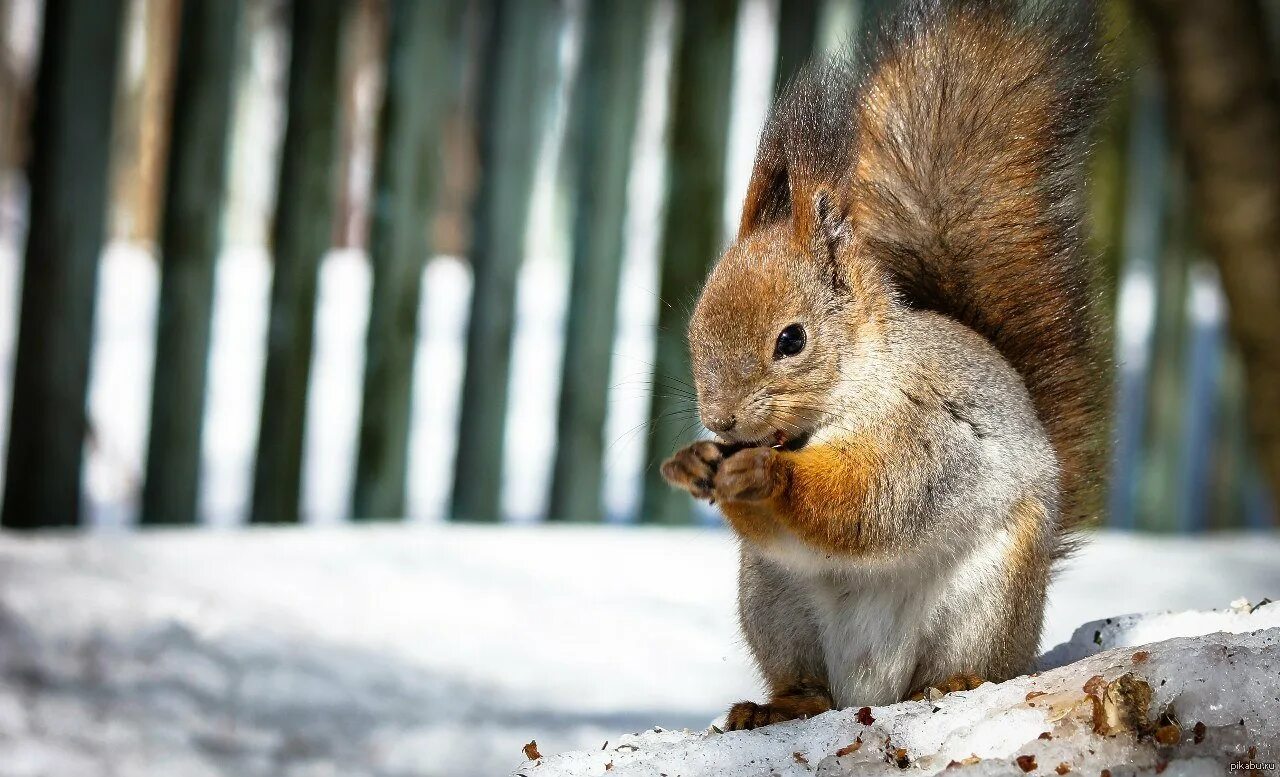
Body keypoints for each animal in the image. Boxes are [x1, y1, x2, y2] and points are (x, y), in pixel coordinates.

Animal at [665, 0, 1105, 727]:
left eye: (792, 340)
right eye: (695, 329)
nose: (722, 422)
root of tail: (870, 690)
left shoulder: (926, 427)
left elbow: (871, 501)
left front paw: (769, 475)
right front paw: (692, 462)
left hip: (988, 596)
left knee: (966, 663)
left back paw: (952, 683)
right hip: (773, 600)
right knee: (807, 681)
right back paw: (783, 706)